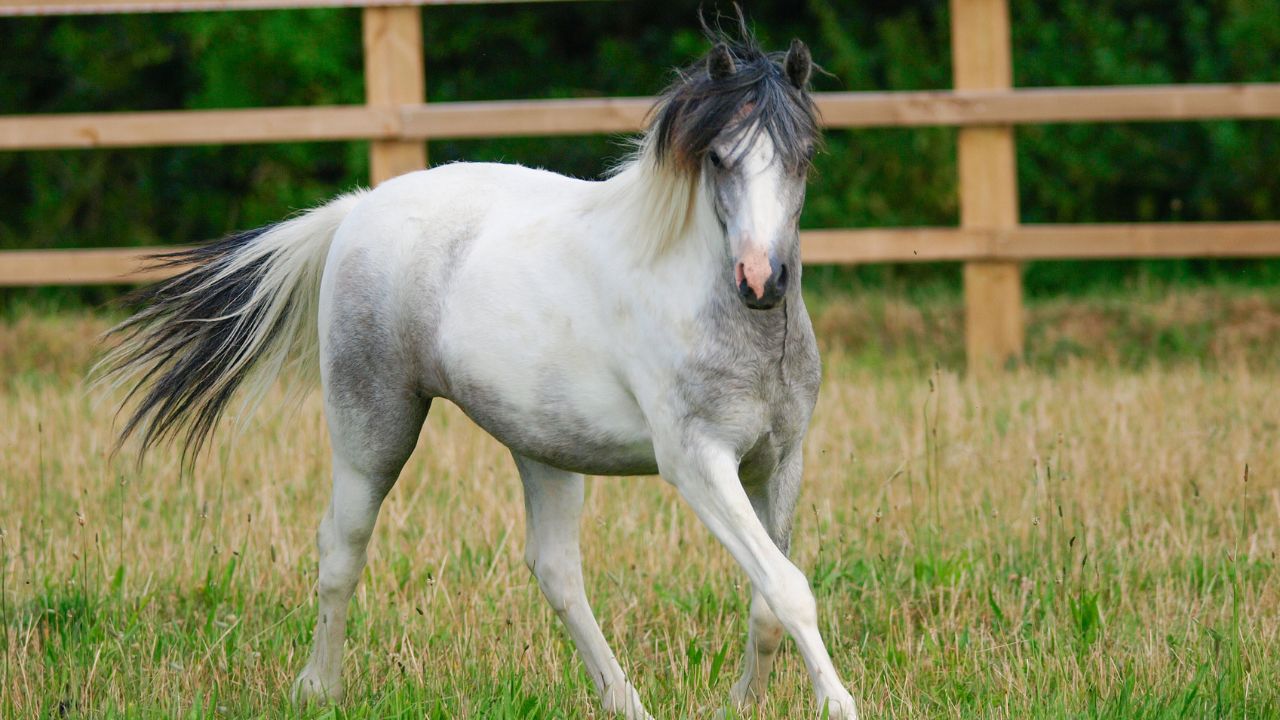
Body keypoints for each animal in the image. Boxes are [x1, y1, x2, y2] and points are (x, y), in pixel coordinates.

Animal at [99, 26, 858, 720]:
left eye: (805, 156)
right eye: (721, 157)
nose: (761, 280)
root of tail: (358, 207)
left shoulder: (779, 460)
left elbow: (768, 597)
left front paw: (741, 703)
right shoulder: (699, 464)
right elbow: (789, 588)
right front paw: (838, 704)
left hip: (544, 447)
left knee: (555, 570)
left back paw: (625, 703)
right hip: (373, 432)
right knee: (342, 546)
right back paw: (318, 690)